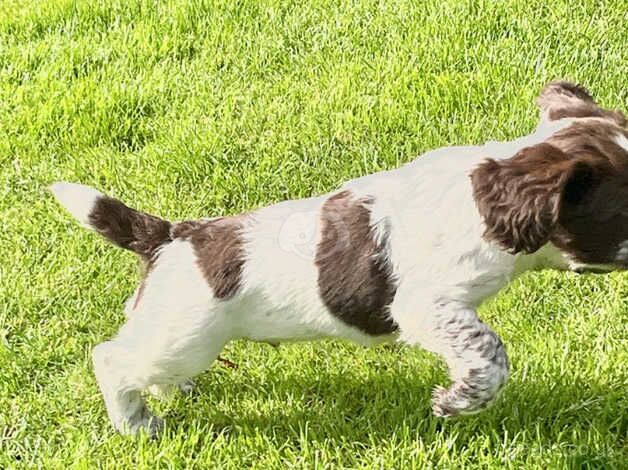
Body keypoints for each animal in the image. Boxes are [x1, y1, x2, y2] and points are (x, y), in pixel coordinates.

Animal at [51, 81, 628, 436]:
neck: (489, 196)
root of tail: (172, 235)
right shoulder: (426, 305)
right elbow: (490, 354)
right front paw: (456, 401)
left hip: (171, 330)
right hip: (186, 337)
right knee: (110, 359)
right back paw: (135, 425)